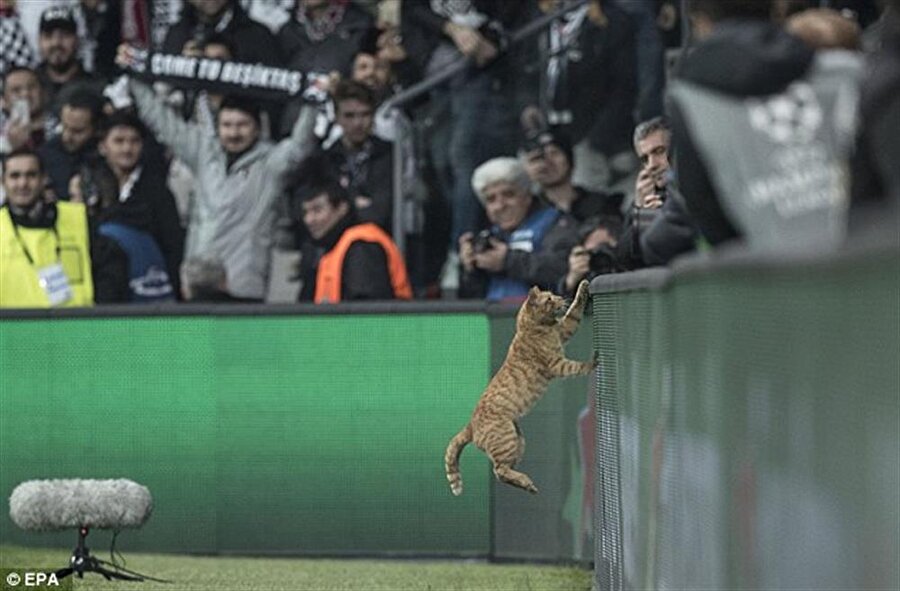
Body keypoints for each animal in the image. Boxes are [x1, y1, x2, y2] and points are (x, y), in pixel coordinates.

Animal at [444, 280, 596, 494]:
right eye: (549, 299)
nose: (560, 298)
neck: (532, 326)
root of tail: (470, 426)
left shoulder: (565, 329)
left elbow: (574, 310)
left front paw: (582, 287)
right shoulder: (557, 364)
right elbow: (578, 366)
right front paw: (594, 362)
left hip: (519, 442)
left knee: (504, 472)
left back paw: (527, 484)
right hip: (506, 439)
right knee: (499, 470)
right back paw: (526, 482)